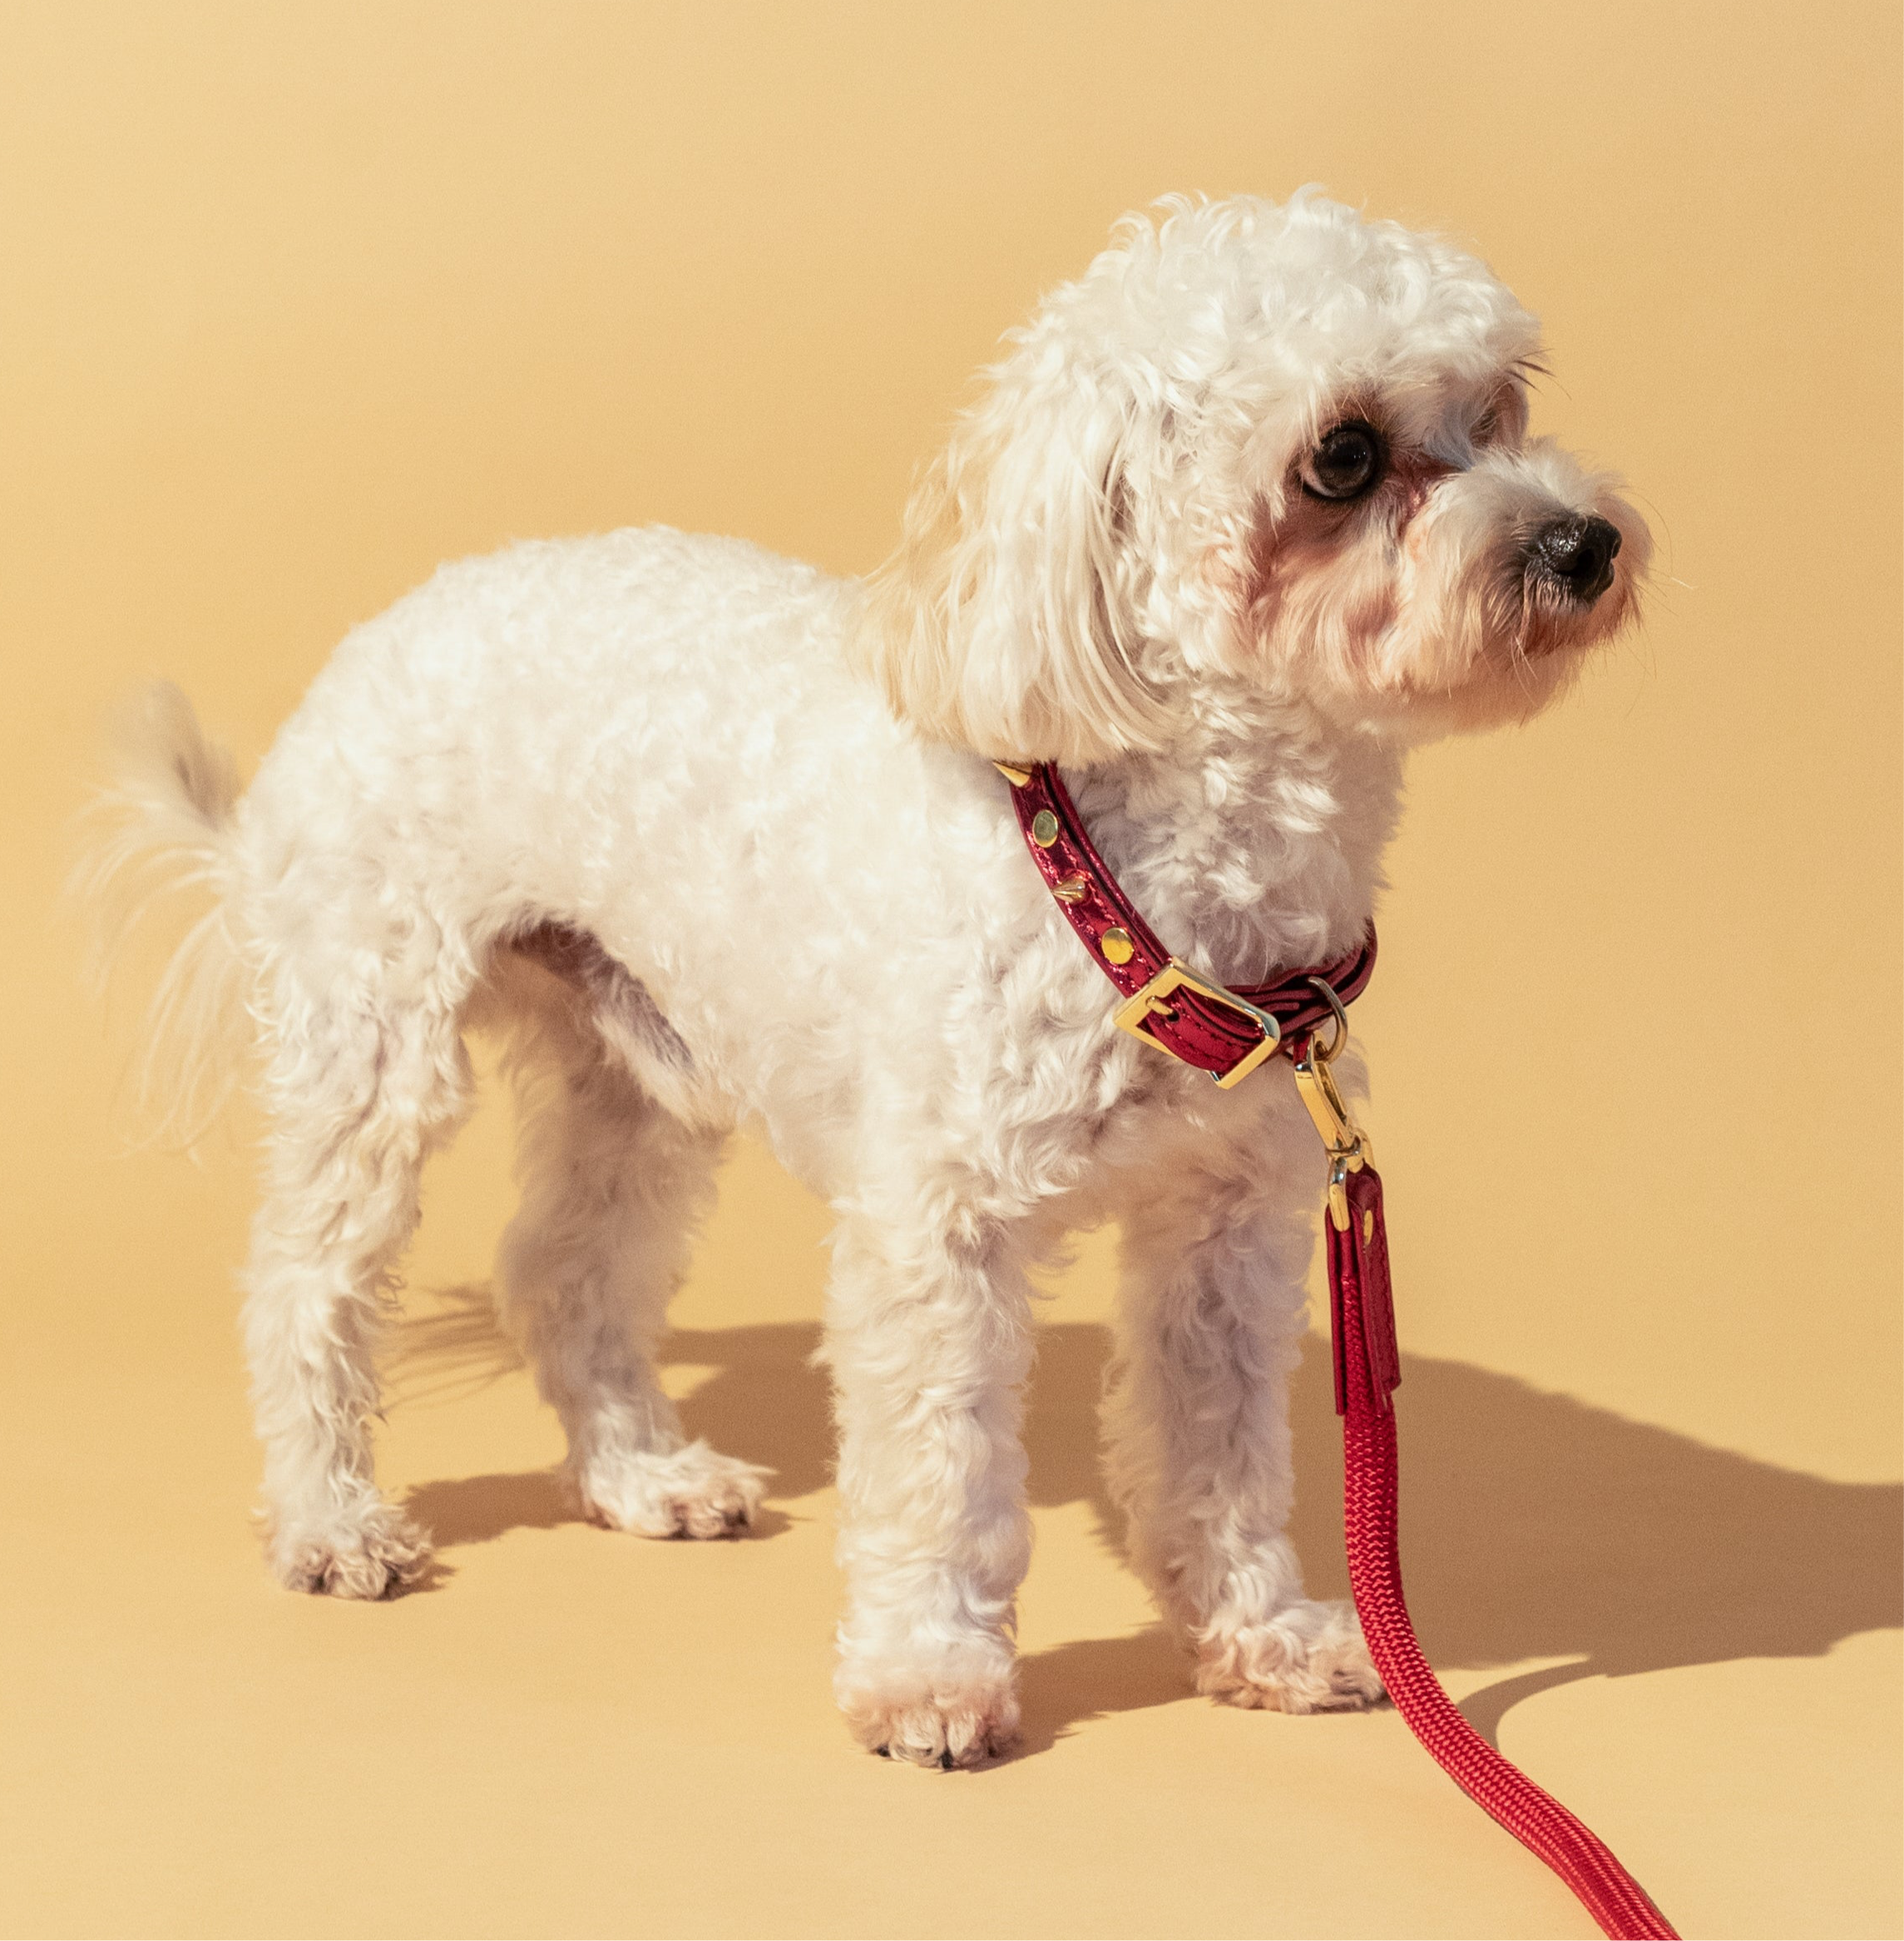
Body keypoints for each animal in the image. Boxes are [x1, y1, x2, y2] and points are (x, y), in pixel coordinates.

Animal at [85, 189, 1638, 1770]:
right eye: (1340, 457)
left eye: (1501, 404)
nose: (1583, 540)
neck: (1132, 858)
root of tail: (368, 645)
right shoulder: (934, 1233)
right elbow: (941, 1474)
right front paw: (929, 1676)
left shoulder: (1226, 1226)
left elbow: (1218, 1448)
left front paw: (1255, 1632)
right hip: (378, 1036)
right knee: (305, 1283)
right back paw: (331, 1521)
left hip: (635, 1073)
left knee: (562, 1268)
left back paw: (641, 1474)